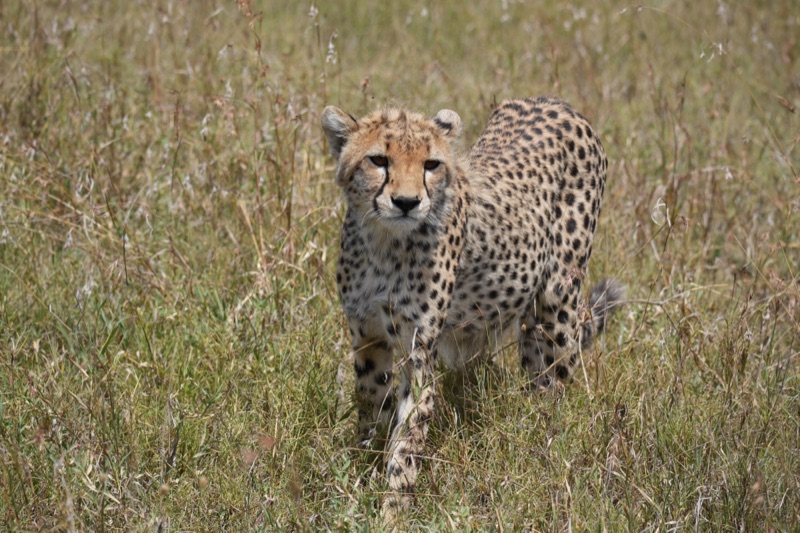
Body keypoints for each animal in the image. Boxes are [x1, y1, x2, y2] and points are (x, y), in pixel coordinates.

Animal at [321, 97, 623, 516]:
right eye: (378, 160)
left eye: (431, 164)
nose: (407, 203)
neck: (385, 242)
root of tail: (555, 102)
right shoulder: (368, 339)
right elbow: (371, 411)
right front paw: (362, 479)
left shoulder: (419, 352)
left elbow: (407, 441)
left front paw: (392, 510)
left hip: (557, 302)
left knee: (555, 386)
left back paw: (547, 457)